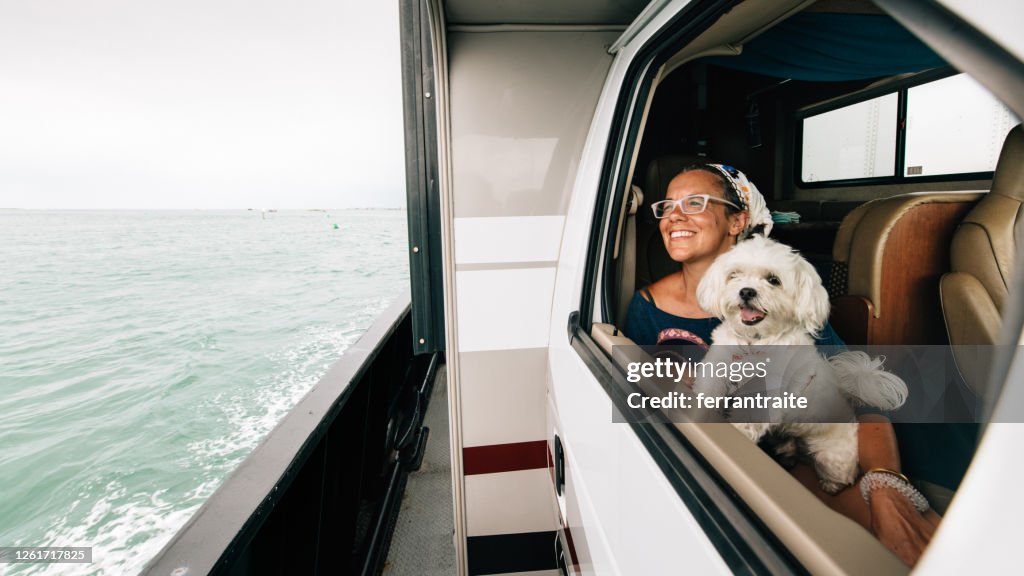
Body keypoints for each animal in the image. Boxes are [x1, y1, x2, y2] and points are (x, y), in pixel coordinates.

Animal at [696, 235, 905, 491]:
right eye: (734, 274)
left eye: (773, 280)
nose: (746, 291)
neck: (754, 342)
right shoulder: (717, 368)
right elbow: (707, 391)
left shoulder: (767, 397)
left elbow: (748, 419)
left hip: (831, 457)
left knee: (842, 475)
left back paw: (830, 485)